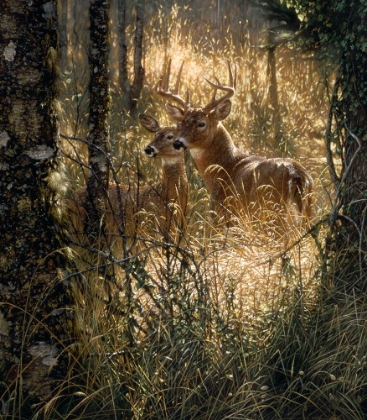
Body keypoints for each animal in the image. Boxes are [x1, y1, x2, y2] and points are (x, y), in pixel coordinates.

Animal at [160, 59, 314, 228]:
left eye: (202, 123)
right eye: (182, 123)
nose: (178, 143)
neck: (225, 166)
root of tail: (297, 175)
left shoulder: (225, 214)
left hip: (272, 211)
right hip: (307, 211)